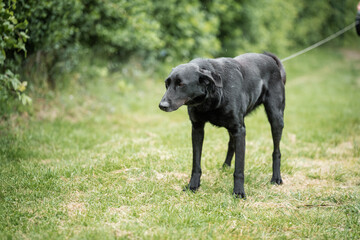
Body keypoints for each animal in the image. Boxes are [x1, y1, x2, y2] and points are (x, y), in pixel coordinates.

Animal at [159, 52, 286, 197]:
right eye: (166, 84)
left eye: (181, 84)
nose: (162, 105)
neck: (212, 95)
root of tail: (269, 58)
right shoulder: (197, 128)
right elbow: (196, 163)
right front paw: (193, 186)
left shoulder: (239, 130)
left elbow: (239, 168)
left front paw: (238, 192)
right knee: (231, 144)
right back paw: (226, 166)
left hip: (276, 118)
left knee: (276, 151)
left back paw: (276, 178)